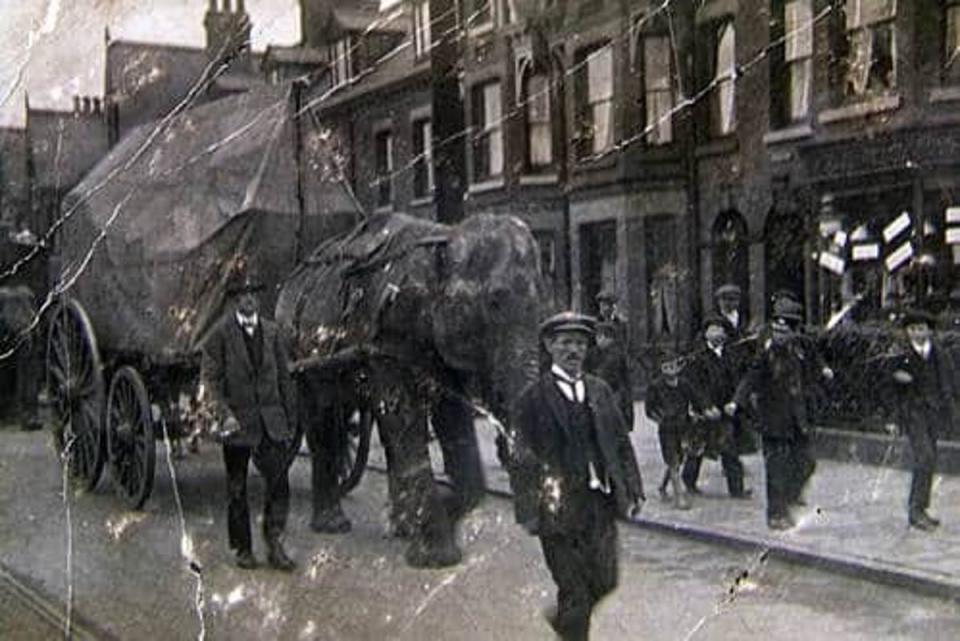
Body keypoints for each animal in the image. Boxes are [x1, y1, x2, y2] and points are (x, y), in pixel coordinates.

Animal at [278, 212, 548, 568]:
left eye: (542, 302)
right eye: (494, 301)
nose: (530, 525)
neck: (444, 236)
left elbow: (451, 419)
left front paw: (423, 523)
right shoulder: (389, 338)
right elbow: (405, 417)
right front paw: (434, 555)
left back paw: (396, 524)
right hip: (297, 352)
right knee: (321, 417)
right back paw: (333, 524)